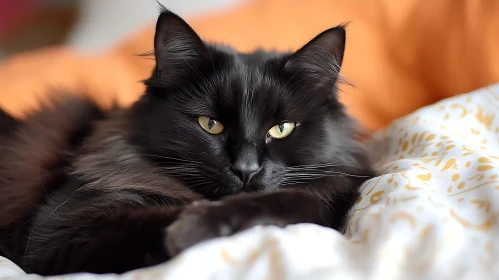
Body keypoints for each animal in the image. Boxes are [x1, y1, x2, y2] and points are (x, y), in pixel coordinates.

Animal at [0, 6, 376, 276]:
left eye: (281, 128)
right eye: (210, 124)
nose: (246, 169)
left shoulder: (328, 190)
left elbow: (295, 203)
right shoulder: (63, 228)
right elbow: (159, 218)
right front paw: (191, 230)